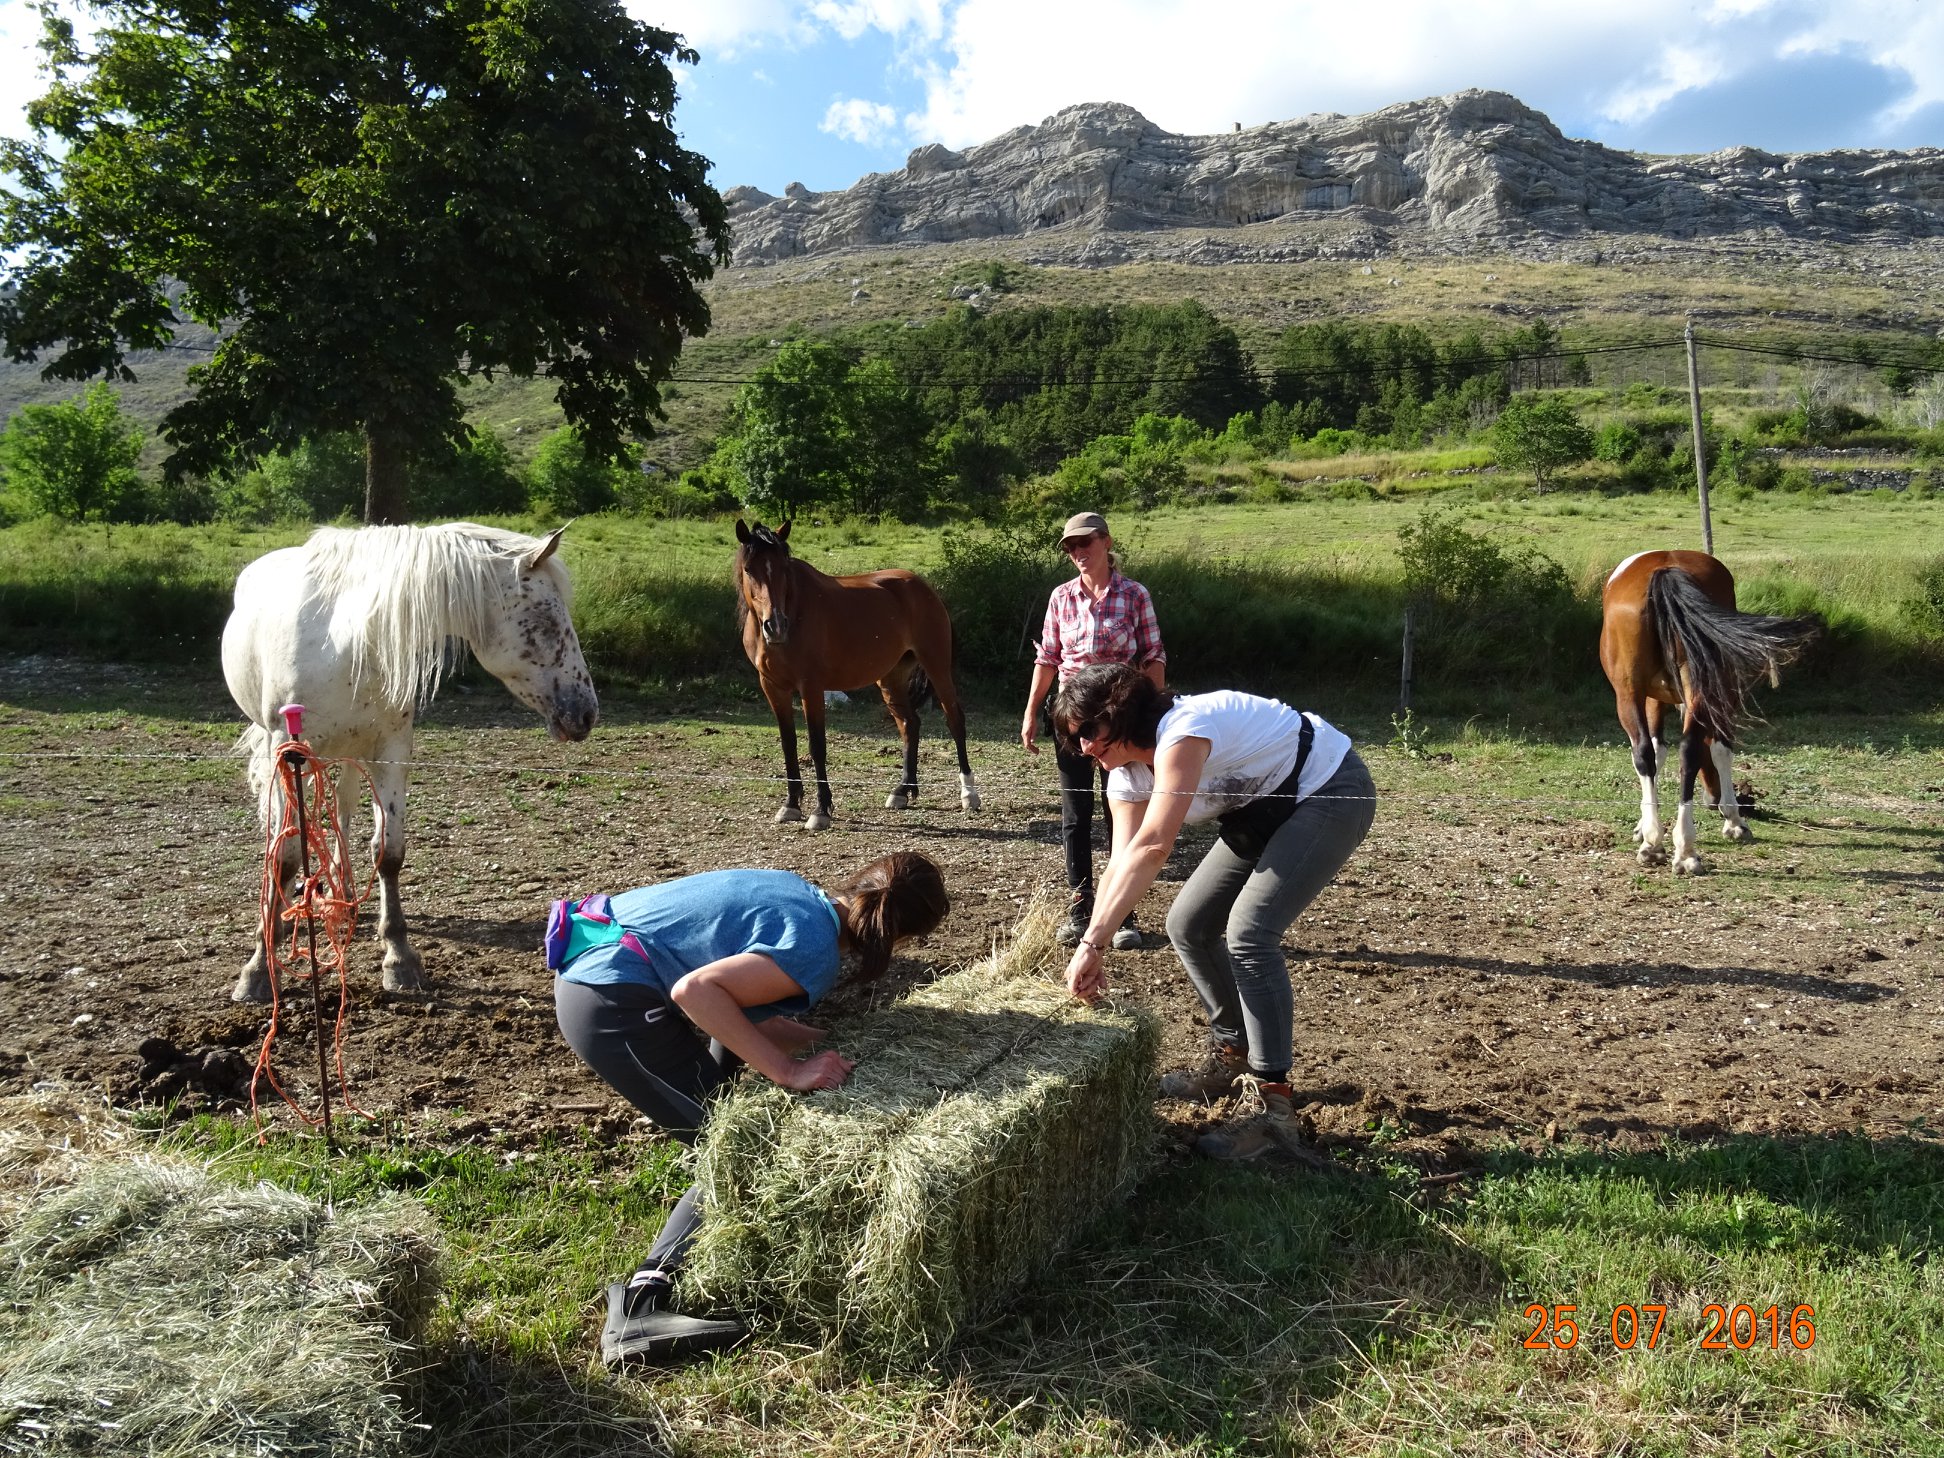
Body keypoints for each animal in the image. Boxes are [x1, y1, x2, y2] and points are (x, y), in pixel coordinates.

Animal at [730, 520, 979, 832]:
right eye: (749, 569)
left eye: (784, 568)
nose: (775, 626)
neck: (795, 611)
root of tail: (922, 586)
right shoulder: (773, 688)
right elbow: (788, 744)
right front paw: (790, 805)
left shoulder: (811, 687)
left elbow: (817, 745)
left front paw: (820, 810)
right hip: (891, 678)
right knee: (910, 724)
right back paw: (902, 791)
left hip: (937, 666)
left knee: (954, 720)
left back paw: (969, 795)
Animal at [1601, 552, 1811, 874]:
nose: (1712, 799)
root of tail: (1665, 570)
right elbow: (1718, 749)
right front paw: (1734, 820)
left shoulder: (1655, 698)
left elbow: (1659, 752)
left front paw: (1645, 827)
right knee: (1684, 750)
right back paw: (1680, 848)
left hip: (1631, 693)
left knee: (1656, 753)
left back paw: (1665, 846)